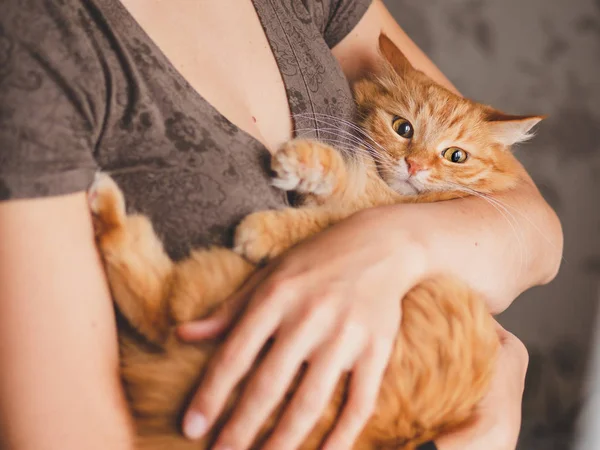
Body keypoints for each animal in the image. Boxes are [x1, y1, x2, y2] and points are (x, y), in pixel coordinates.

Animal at [90, 36, 544, 450]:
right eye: (403, 128)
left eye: (455, 156)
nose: (414, 165)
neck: (390, 195)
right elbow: (335, 179)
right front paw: (306, 165)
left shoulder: (360, 213)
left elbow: (322, 208)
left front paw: (266, 226)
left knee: (162, 306)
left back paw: (105, 205)